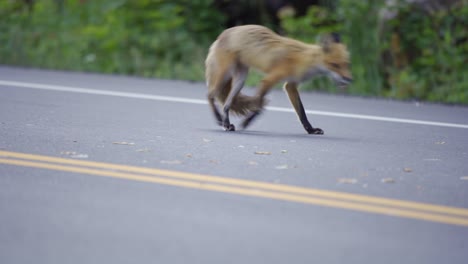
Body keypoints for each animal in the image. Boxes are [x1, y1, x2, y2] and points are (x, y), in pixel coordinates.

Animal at [205, 24, 352, 134]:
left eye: (346, 64)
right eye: (335, 65)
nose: (349, 79)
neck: (304, 60)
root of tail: (221, 35)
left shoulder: (290, 85)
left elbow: (302, 112)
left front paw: (310, 130)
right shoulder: (269, 80)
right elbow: (258, 106)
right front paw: (246, 122)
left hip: (240, 80)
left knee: (226, 105)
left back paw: (227, 124)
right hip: (224, 74)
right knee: (210, 95)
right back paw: (218, 118)